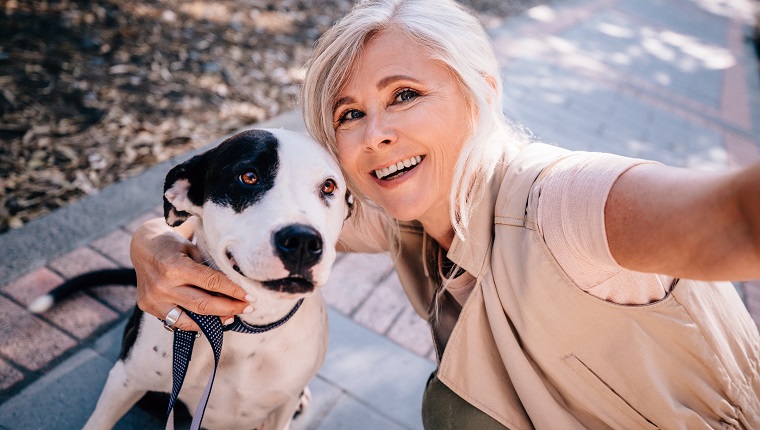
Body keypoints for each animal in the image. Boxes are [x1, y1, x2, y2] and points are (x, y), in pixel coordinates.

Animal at [29, 128, 350, 430]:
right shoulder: (126, 379)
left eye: (328, 186)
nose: (303, 241)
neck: (251, 328)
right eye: (248, 177)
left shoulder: (281, 408)